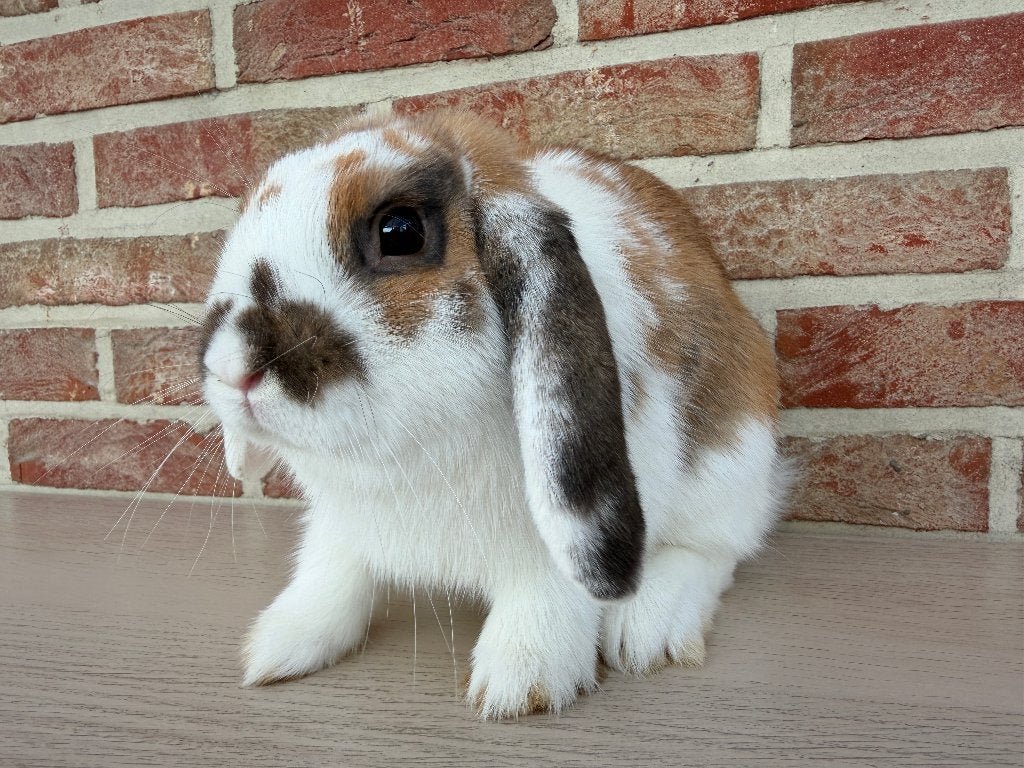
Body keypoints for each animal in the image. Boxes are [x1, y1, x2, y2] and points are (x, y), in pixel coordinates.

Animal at [200, 110, 788, 720]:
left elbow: (548, 593)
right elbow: (329, 575)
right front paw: (279, 644)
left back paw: (649, 628)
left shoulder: (557, 537)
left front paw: (519, 680)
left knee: (718, 549)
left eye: (400, 232)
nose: (231, 368)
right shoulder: (339, 523)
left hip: (732, 469)